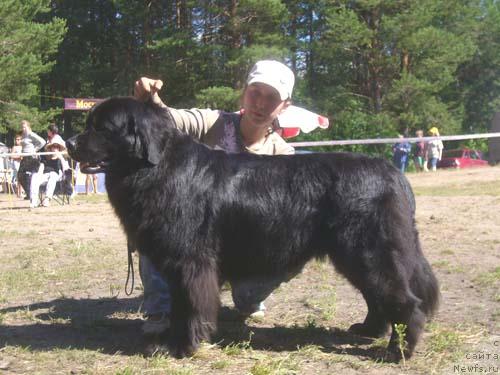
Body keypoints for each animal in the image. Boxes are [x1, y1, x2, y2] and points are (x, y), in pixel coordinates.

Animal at [66, 97, 438, 362]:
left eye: (102, 128)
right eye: (88, 124)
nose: (69, 143)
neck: (155, 168)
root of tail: (391, 171)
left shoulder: (191, 262)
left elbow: (192, 304)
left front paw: (184, 347)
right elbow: (182, 304)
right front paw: (175, 339)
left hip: (368, 251)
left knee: (404, 300)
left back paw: (397, 351)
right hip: (355, 254)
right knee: (377, 296)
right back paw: (368, 330)